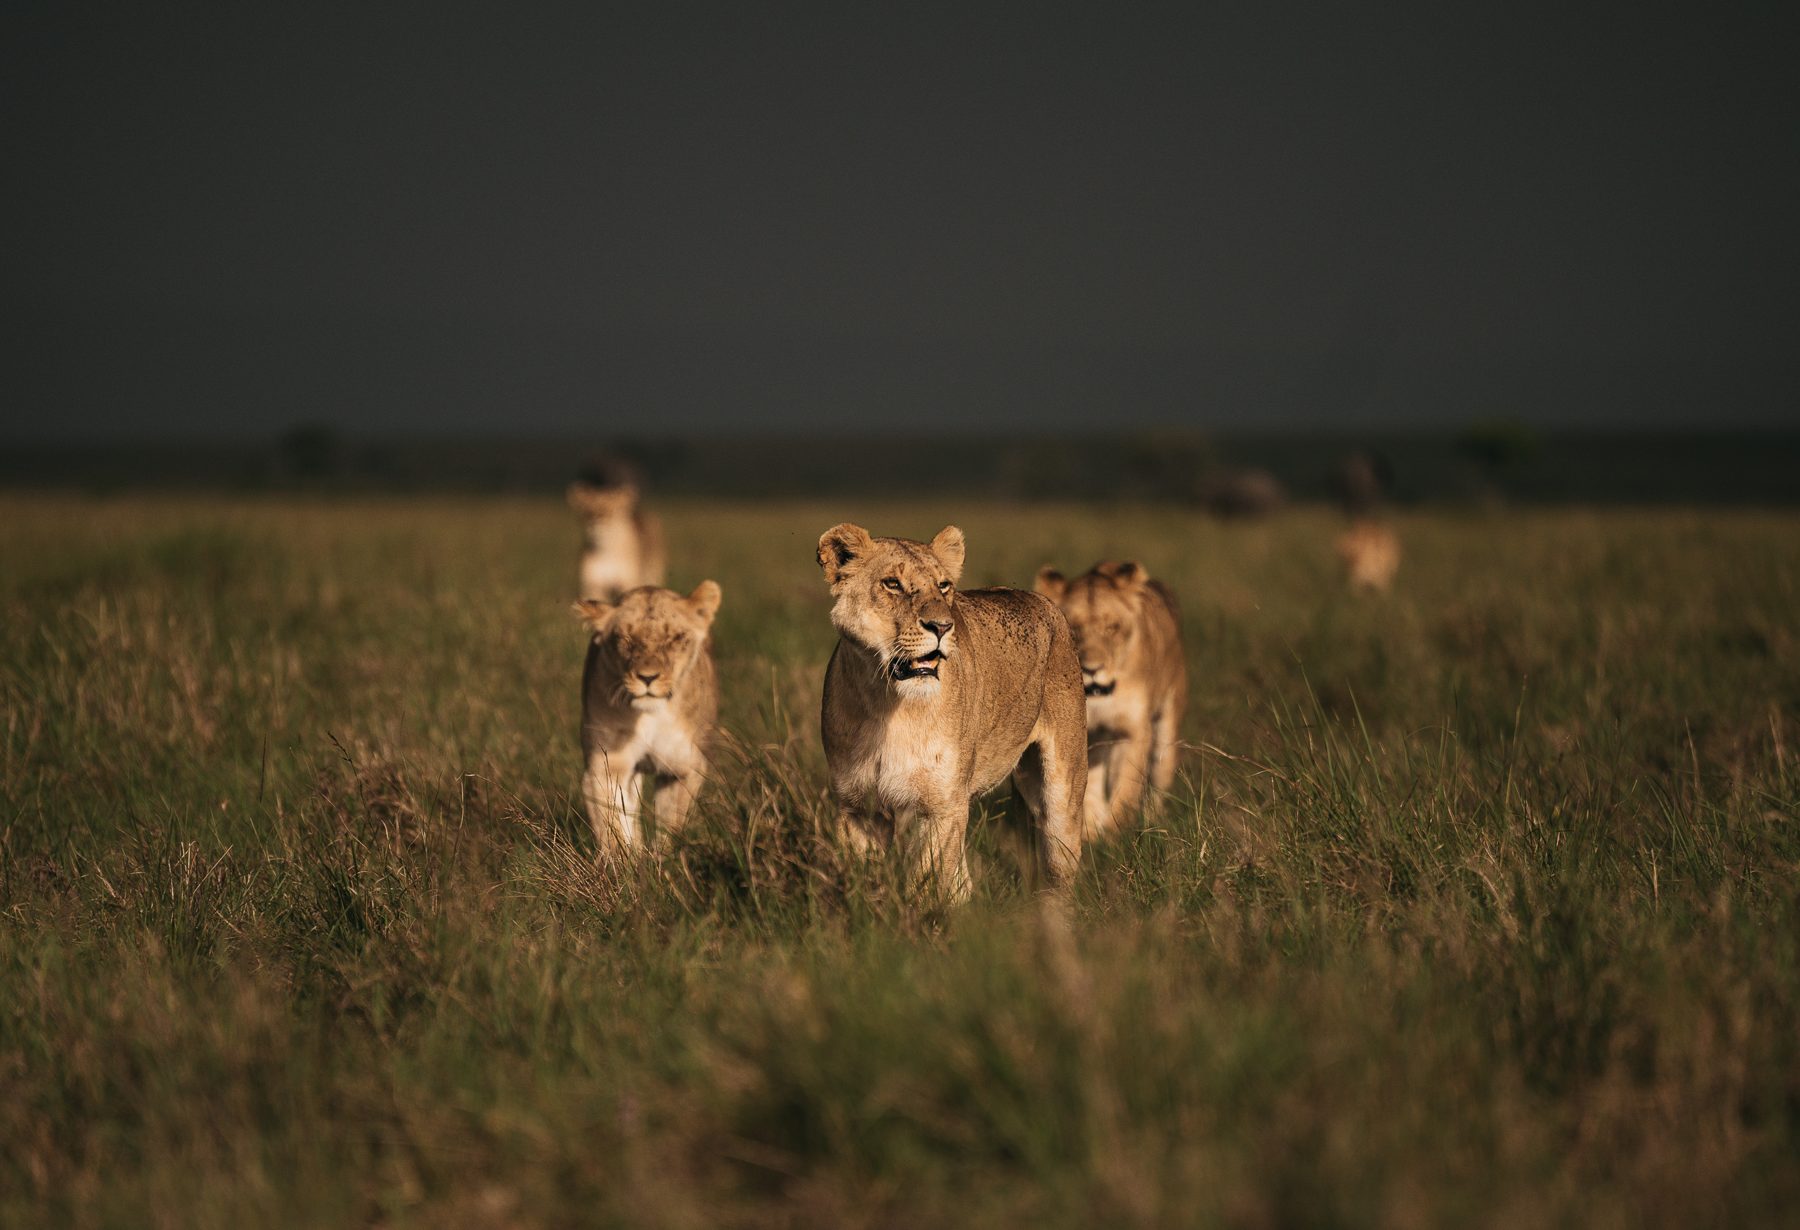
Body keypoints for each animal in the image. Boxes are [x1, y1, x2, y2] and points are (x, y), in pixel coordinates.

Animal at [573, 581, 721, 857]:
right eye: (625, 638)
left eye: (675, 638)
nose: (648, 677)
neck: (650, 716)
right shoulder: (607, 766)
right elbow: (613, 828)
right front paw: (624, 864)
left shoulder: (683, 768)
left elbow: (670, 826)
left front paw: (663, 861)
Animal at [816, 522, 1088, 901]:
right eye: (892, 584)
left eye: (943, 586)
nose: (942, 627)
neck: (887, 701)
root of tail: (1039, 598)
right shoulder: (855, 805)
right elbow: (863, 883)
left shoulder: (944, 806)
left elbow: (926, 885)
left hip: (1063, 787)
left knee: (1060, 866)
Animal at [1034, 561, 1188, 837]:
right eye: (1075, 629)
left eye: (1112, 628)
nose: (1092, 669)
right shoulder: (1083, 731)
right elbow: (1086, 787)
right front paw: (1091, 831)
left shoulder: (1134, 729)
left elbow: (1127, 786)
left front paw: (1116, 832)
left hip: (1168, 723)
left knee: (1160, 774)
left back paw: (1154, 820)